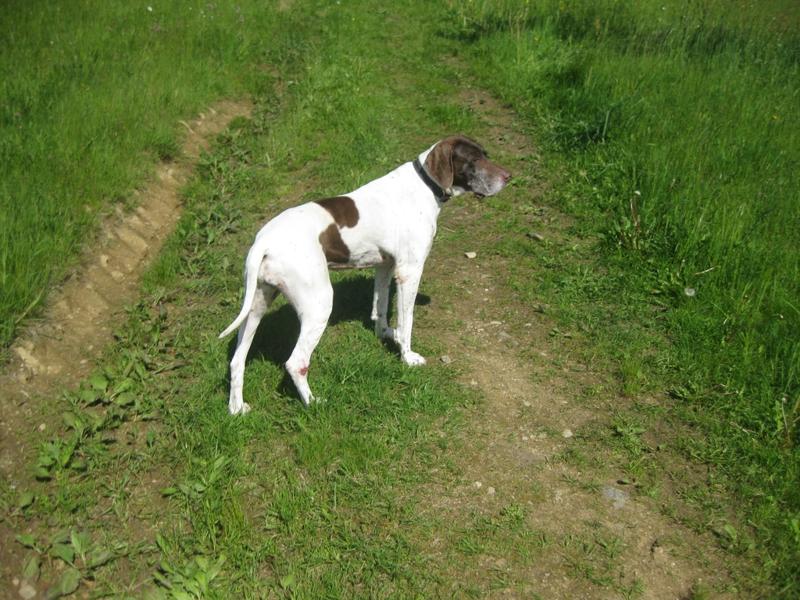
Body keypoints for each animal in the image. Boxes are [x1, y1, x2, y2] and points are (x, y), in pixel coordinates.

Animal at [216, 135, 510, 414]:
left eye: (486, 154)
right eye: (474, 160)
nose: (509, 177)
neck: (424, 185)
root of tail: (264, 242)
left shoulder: (385, 266)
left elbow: (379, 308)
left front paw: (386, 335)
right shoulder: (410, 272)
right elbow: (408, 322)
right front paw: (407, 357)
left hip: (257, 305)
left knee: (237, 360)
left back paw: (237, 408)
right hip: (319, 304)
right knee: (296, 362)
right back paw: (314, 403)